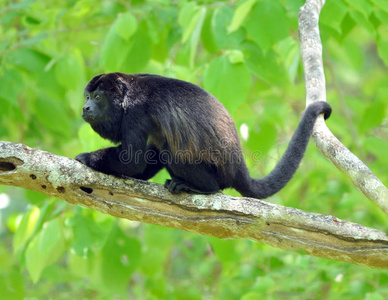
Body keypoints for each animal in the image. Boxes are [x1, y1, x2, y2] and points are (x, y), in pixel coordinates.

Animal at [76, 72, 330, 199]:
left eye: (98, 97)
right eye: (87, 96)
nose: (85, 107)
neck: (126, 93)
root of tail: (237, 167)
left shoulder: (135, 111)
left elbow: (132, 160)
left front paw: (87, 158)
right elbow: (143, 160)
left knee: (174, 154)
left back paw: (201, 187)